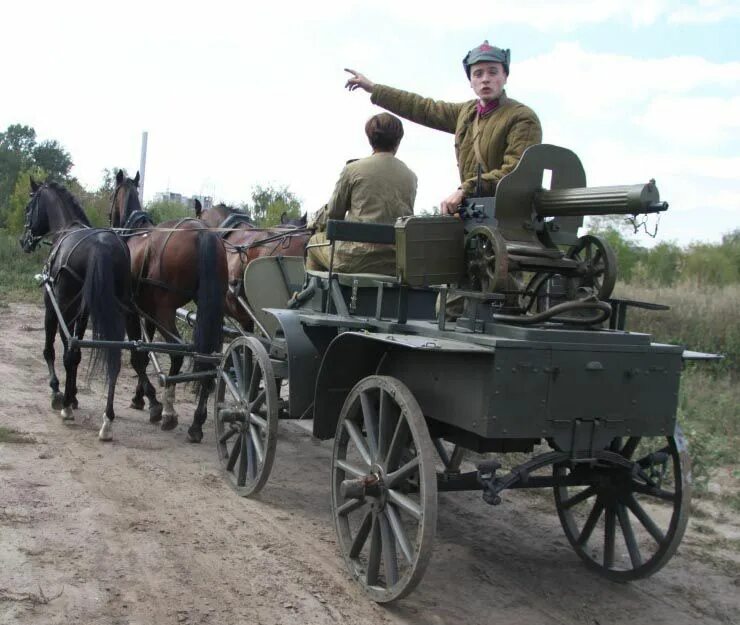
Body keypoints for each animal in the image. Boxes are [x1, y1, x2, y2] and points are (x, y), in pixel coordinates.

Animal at [19, 178, 132, 442]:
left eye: (29, 207)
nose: (24, 241)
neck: (66, 227)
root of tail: (102, 247)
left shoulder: (54, 306)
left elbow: (54, 349)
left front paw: (59, 393)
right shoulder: (82, 313)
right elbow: (76, 353)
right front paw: (73, 395)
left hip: (66, 303)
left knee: (69, 350)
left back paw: (67, 408)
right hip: (116, 309)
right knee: (114, 357)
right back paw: (107, 420)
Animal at [111, 172, 227, 444]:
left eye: (112, 195)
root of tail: (203, 234)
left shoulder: (132, 313)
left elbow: (137, 357)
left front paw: (153, 403)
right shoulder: (147, 314)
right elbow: (144, 353)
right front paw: (139, 398)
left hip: (165, 312)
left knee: (177, 353)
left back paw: (169, 412)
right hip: (212, 314)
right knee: (211, 360)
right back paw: (197, 422)